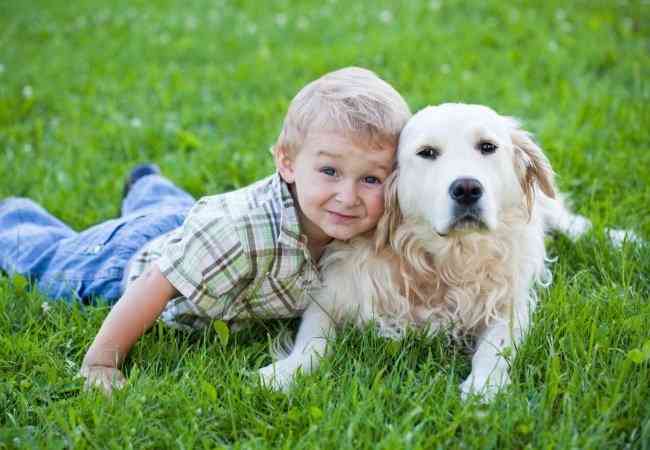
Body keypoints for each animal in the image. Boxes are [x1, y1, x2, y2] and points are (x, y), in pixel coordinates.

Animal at [258, 103, 632, 400]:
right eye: (427, 152)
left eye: (487, 147)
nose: (466, 188)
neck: (446, 259)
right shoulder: (333, 295)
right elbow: (312, 341)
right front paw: (286, 371)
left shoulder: (510, 305)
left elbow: (495, 348)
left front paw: (484, 385)